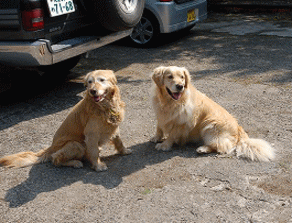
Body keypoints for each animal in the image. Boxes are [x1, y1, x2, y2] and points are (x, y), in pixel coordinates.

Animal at [0, 69, 130, 171]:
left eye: (102, 80)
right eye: (90, 82)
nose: (92, 91)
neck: (105, 106)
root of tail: (50, 148)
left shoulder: (114, 127)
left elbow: (119, 141)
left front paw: (124, 151)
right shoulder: (91, 134)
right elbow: (94, 152)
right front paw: (98, 166)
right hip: (76, 144)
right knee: (55, 159)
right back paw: (75, 162)